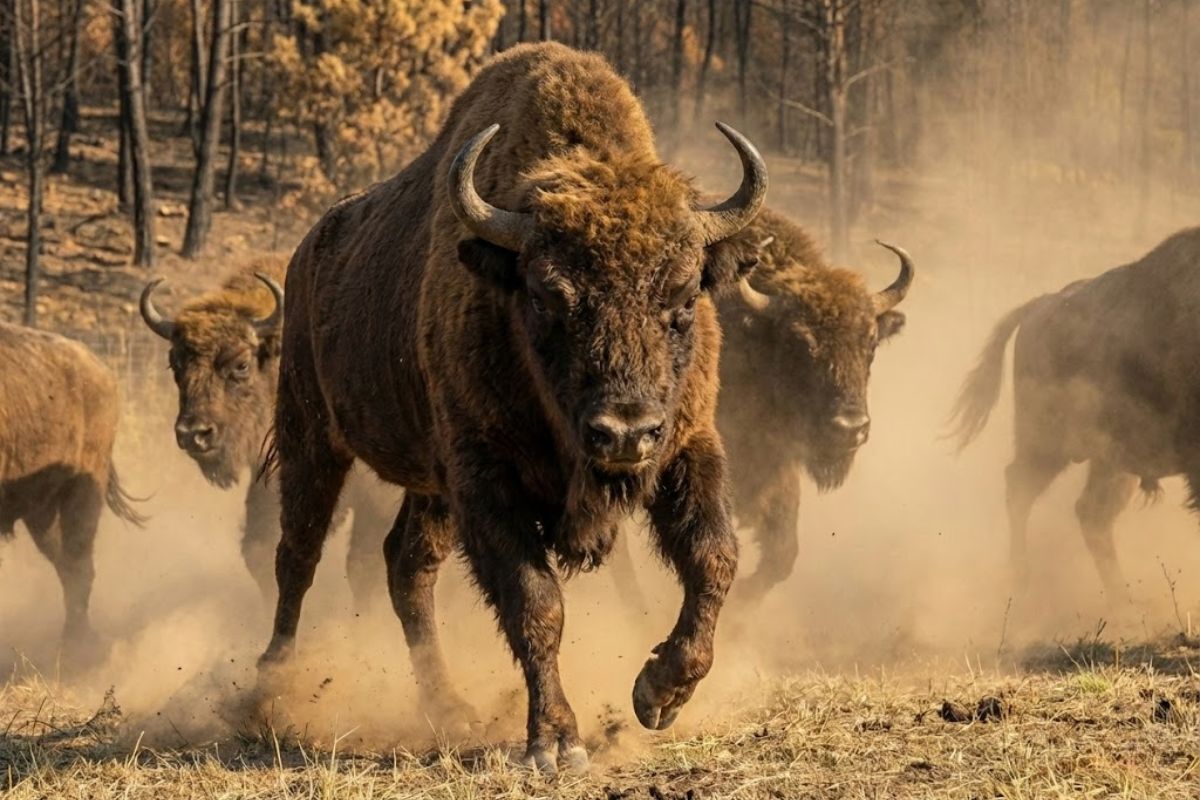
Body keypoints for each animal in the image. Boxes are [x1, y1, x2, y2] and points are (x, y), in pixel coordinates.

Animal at [0, 321, 144, 660]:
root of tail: (101, 370)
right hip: (43, 511)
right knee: (65, 564)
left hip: (84, 493)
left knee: (79, 567)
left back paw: (79, 647)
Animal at [258, 42, 767, 772]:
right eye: (549, 297)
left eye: (681, 297)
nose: (623, 433)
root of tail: (304, 254)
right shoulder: (485, 476)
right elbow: (536, 603)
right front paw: (556, 742)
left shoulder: (687, 445)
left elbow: (714, 556)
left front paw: (658, 694)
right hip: (311, 433)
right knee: (297, 553)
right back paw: (269, 688)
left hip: (428, 482)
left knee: (405, 566)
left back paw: (448, 708)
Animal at [950, 226, 1200, 600]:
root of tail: (1041, 305)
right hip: (1048, 444)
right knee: (1021, 488)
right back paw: (1022, 581)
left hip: (1110, 459)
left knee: (1091, 513)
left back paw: (1121, 602)